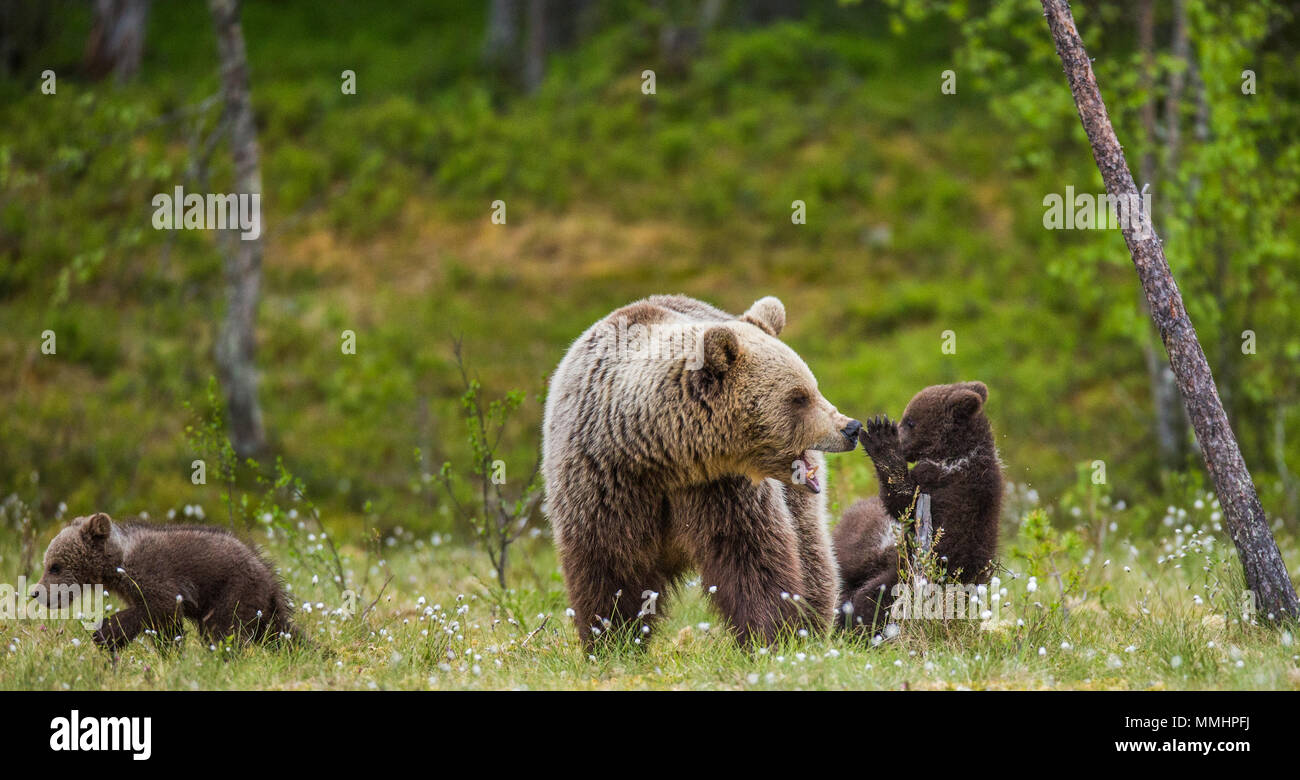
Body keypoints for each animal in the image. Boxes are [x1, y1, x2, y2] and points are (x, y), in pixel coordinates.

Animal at [30, 512, 299, 650]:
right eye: (48, 563)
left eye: (55, 566)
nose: (36, 592)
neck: (117, 566)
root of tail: (268, 574)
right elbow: (164, 628)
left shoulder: (154, 577)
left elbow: (158, 610)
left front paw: (106, 633)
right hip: (260, 606)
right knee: (279, 632)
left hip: (234, 590)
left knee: (222, 630)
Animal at [542, 294, 862, 648]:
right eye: (799, 397)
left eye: (811, 388)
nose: (851, 428)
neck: (661, 454)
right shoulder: (605, 481)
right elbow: (609, 564)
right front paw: (612, 639)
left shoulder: (719, 488)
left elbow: (749, 554)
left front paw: (773, 634)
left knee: (810, 547)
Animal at [833, 381, 1002, 630]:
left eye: (910, 421)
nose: (900, 440)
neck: (954, 456)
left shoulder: (949, 492)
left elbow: (904, 503)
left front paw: (881, 437)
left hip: (910, 573)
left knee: (874, 597)